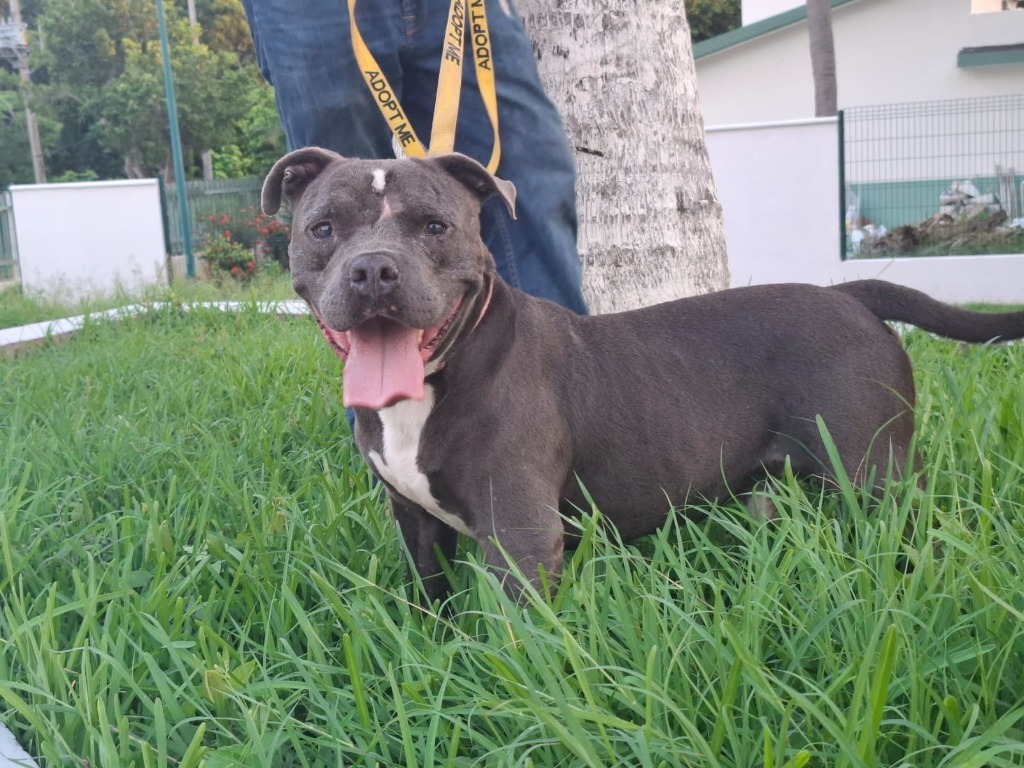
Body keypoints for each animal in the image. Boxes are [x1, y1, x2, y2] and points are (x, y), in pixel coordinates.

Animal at [264, 147, 1024, 606]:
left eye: (434, 227)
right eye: (324, 228)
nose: (373, 270)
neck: (436, 379)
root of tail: (853, 294)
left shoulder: (521, 539)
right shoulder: (417, 525)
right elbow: (432, 604)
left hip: (876, 477)